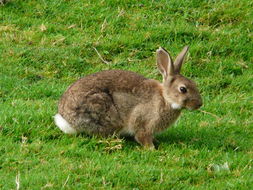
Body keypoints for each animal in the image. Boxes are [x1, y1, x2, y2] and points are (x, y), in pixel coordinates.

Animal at [53, 46, 202, 148]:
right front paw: (152, 148)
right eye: (183, 89)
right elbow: (142, 136)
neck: (165, 98)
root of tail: (66, 119)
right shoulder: (143, 122)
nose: (199, 104)